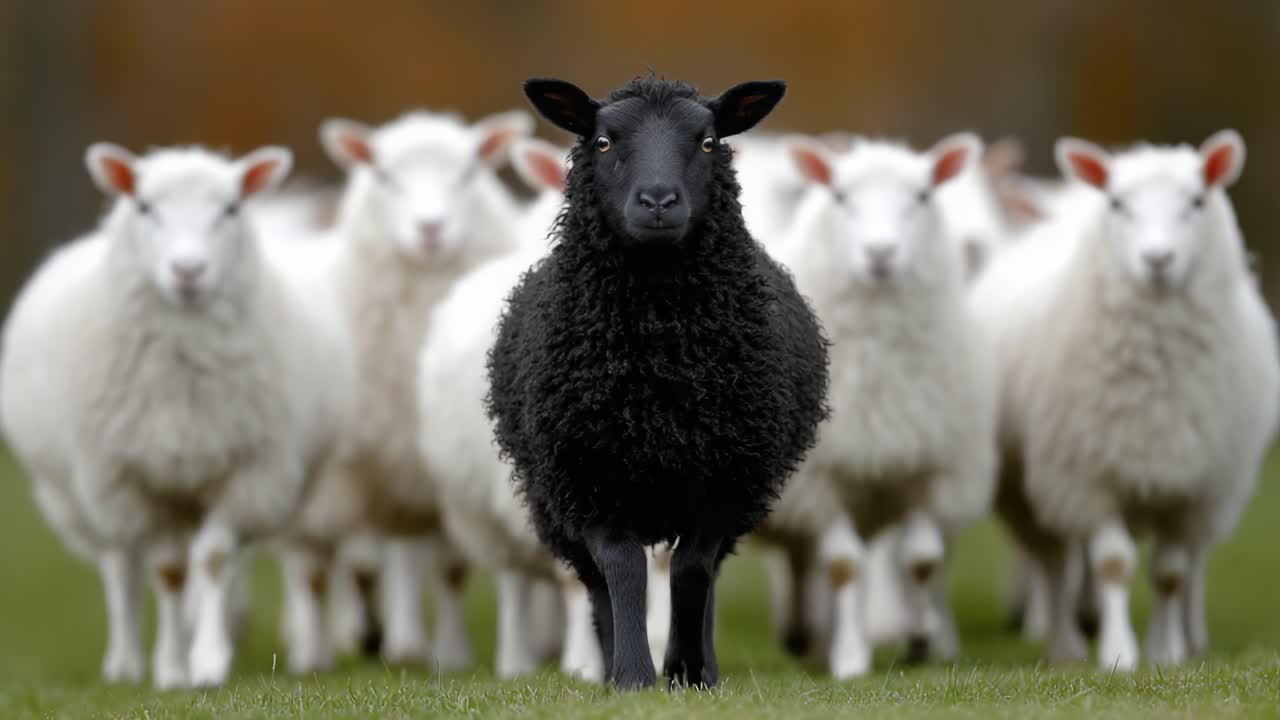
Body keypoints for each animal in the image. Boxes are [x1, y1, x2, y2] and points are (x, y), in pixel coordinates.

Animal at [0, 143, 352, 688]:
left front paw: (206, 661)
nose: (188, 271)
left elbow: (211, 562)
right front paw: (169, 668)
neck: (183, 371)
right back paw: (125, 662)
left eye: (230, 208)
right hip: (89, 496)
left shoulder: (246, 474)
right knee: (120, 569)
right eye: (145, 207)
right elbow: (166, 572)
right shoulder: (137, 482)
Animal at [274, 109, 533, 674]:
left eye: (468, 173)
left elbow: (449, 569)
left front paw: (450, 655)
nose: (430, 229)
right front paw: (318, 655)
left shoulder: (441, 478)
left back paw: (404, 640)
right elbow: (324, 570)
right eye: (384, 176)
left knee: (403, 562)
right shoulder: (335, 476)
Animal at [486, 75, 828, 690]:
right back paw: (606, 665)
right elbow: (622, 571)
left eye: (709, 141)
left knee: (707, 577)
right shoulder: (590, 475)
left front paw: (686, 670)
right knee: (595, 584)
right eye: (602, 141)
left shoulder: (722, 480)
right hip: (552, 502)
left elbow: (692, 572)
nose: (659, 202)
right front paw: (632, 675)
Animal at [757, 135, 999, 678]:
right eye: (840, 196)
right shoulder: (822, 479)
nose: (881, 253)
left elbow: (921, 560)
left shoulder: (929, 465)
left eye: (923, 196)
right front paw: (850, 659)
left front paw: (920, 639)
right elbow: (844, 566)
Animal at [972, 130, 1279, 670]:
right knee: (1055, 563)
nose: (1157, 260)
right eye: (1117, 204)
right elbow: (1112, 564)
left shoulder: (1191, 486)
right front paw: (1118, 652)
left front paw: (1166, 652)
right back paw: (1066, 643)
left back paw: (1190, 636)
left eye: (1196, 201)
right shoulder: (1089, 476)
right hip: (1032, 492)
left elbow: (1171, 573)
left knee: (1194, 565)